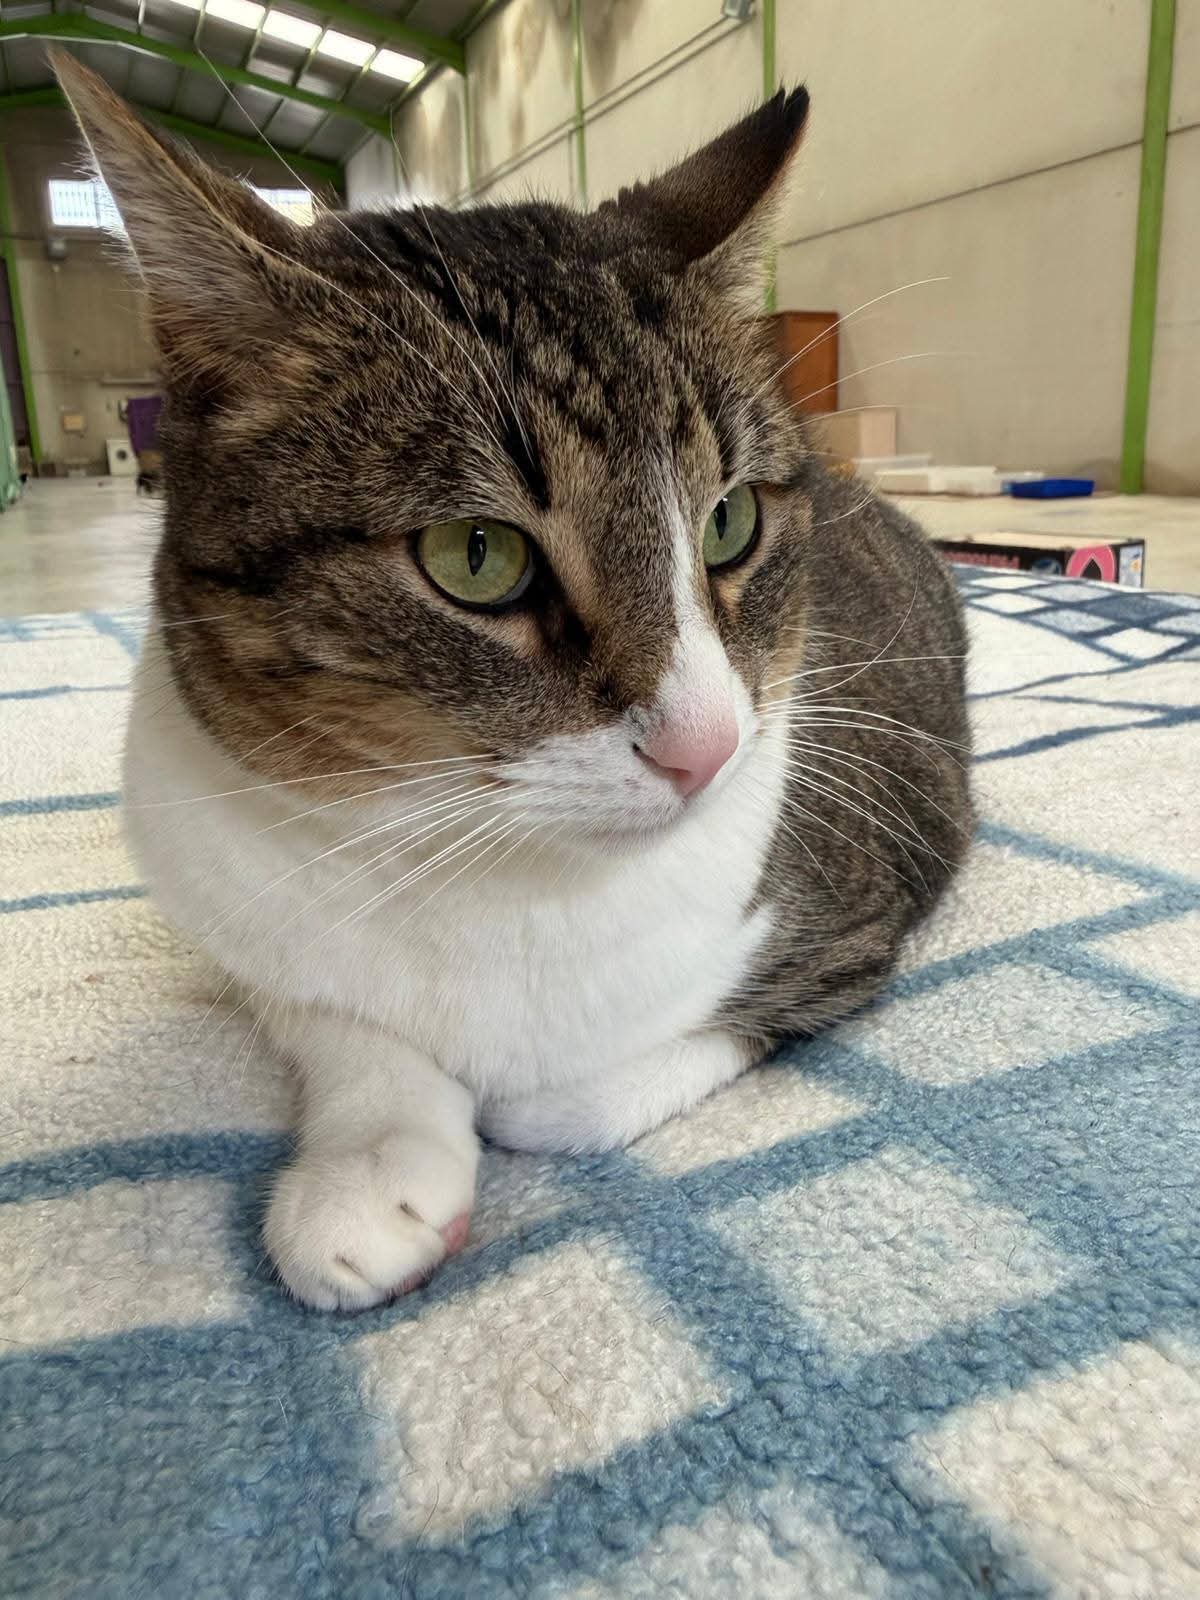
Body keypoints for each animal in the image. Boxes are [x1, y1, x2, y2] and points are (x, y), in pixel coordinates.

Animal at [54, 53, 971, 1311]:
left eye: (729, 523)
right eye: (476, 556)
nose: (705, 747)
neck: (477, 865)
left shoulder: (857, 911)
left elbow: (567, 1093)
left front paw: (504, 1101)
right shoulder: (231, 906)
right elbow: (333, 1013)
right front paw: (372, 1166)